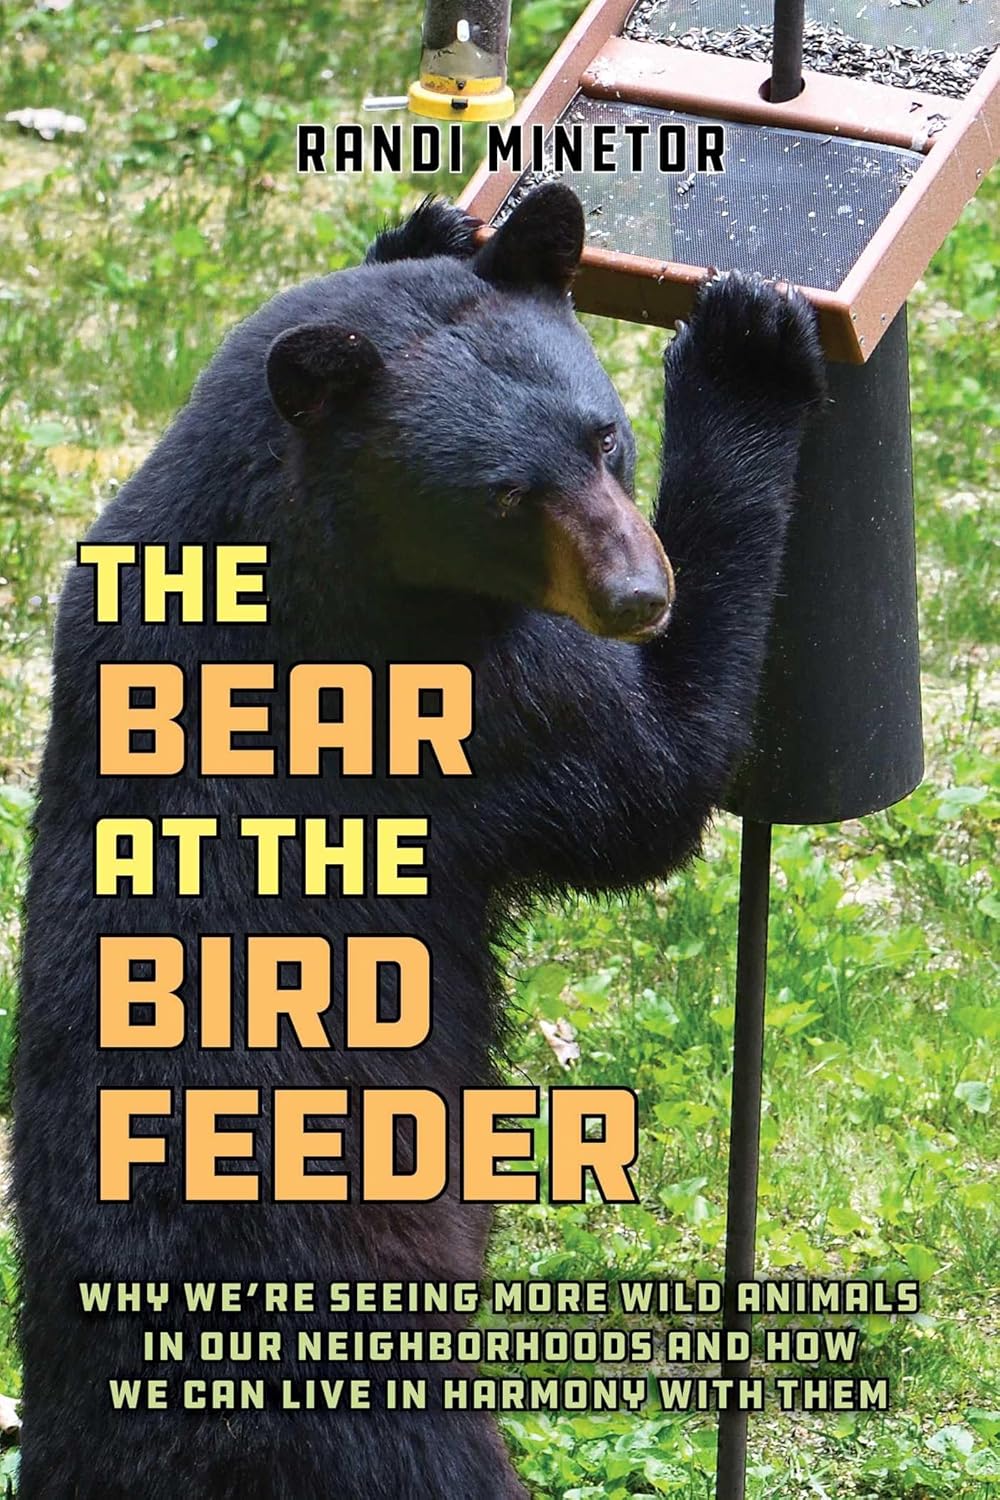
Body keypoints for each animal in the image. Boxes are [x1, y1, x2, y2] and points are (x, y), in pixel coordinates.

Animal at [14, 183, 825, 1499]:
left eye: (604, 439)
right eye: (503, 493)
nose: (638, 595)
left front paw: (433, 225)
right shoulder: (475, 698)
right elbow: (650, 776)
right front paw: (746, 344)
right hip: (386, 1407)